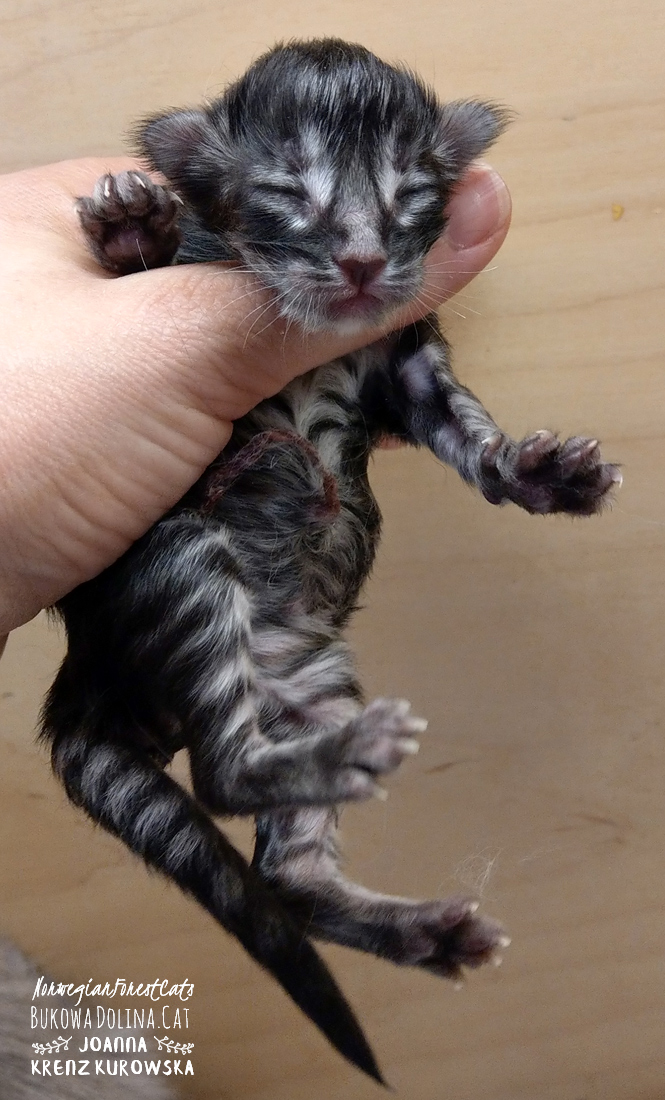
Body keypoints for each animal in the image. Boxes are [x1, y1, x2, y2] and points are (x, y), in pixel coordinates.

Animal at [40, 38, 620, 1083]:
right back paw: (348, 758)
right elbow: (150, 265)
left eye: (409, 193)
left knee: (291, 874)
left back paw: (424, 928)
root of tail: (85, 683)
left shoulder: (406, 363)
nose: (358, 260)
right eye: (284, 192)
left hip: (311, 672)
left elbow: (465, 430)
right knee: (225, 772)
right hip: (186, 559)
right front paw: (131, 221)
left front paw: (542, 473)